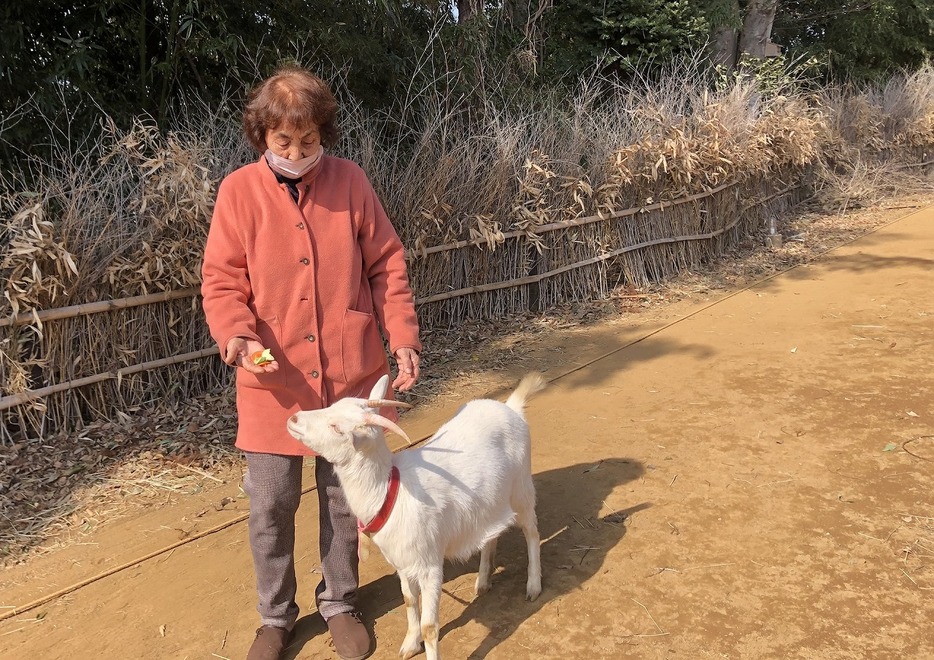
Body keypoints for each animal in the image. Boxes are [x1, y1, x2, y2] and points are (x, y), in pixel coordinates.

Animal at [288, 374, 544, 656]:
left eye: (336, 428)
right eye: (333, 406)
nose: (294, 418)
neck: (390, 492)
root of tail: (511, 407)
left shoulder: (430, 565)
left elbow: (430, 627)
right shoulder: (402, 562)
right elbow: (409, 601)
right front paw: (410, 644)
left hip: (522, 489)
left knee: (532, 533)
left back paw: (533, 585)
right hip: (489, 503)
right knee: (490, 534)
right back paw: (483, 581)